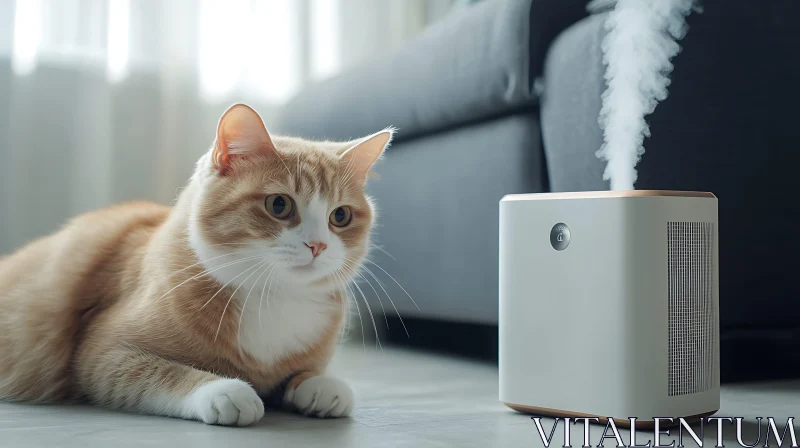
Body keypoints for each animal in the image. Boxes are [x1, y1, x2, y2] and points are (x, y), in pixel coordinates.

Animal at [0, 103, 390, 426]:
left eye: (340, 216)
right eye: (279, 205)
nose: (318, 245)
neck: (272, 295)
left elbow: (307, 374)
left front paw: (321, 385)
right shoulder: (101, 353)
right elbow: (165, 374)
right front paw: (224, 390)